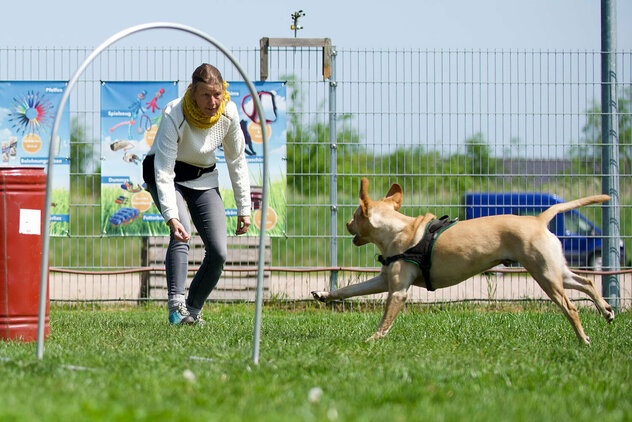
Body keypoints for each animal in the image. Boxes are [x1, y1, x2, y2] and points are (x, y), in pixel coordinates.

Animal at [314, 176, 616, 344]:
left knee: (570, 307)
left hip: (544, 275)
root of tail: (538, 219)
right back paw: (606, 310)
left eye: (356, 215)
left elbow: (385, 319)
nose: (346, 223)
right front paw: (324, 294)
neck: (398, 229)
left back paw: (583, 339)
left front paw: (373, 339)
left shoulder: (398, 291)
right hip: (555, 269)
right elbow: (349, 289)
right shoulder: (383, 279)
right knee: (587, 281)